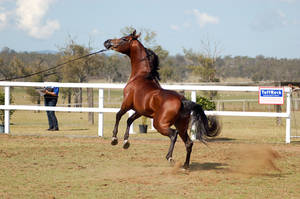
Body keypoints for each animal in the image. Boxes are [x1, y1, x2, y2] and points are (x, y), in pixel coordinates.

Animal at [104, 30, 219, 169]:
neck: (141, 77)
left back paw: (170, 158)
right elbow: (129, 120)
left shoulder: (127, 104)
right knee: (189, 143)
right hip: (181, 126)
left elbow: (119, 115)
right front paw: (126, 142)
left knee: (173, 135)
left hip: (159, 124)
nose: (107, 42)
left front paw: (114, 139)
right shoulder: (140, 111)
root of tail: (182, 101)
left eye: (124, 39)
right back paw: (185, 166)